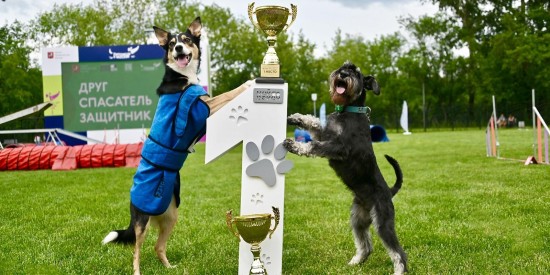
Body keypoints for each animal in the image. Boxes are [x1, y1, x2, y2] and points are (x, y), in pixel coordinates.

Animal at [102, 16, 252, 274]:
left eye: (186, 40)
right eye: (172, 44)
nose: (179, 48)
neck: (183, 77)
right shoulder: (204, 108)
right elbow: (228, 93)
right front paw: (248, 83)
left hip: (171, 217)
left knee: (158, 247)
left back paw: (170, 267)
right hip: (142, 222)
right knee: (136, 252)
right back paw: (138, 271)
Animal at [284, 61, 410, 274]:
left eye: (356, 73)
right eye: (344, 65)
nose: (343, 74)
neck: (349, 110)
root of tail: (389, 192)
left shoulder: (338, 147)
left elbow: (312, 146)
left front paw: (293, 144)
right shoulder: (325, 134)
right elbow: (313, 122)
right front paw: (295, 118)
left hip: (383, 222)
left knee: (398, 252)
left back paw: (399, 270)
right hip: (358, 219)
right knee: (366, 245)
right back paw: (355, 262)